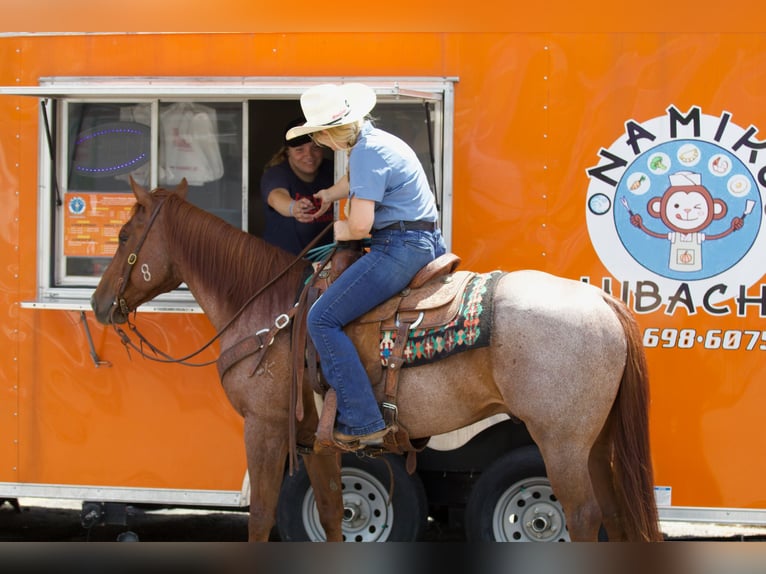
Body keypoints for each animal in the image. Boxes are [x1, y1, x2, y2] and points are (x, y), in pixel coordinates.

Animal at [90, 181, 664, 544]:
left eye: (123, 237)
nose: (99, 304)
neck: (269, 309)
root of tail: (602, 301)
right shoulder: (315, 441)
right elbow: (331, 515)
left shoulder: (265, 428)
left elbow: (260, 520)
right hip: (595, 443)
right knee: (615, 514)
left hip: (561, 442)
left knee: (581, 517)